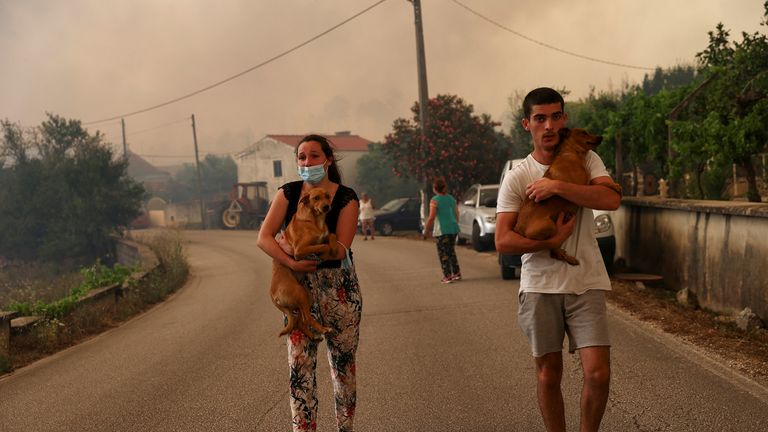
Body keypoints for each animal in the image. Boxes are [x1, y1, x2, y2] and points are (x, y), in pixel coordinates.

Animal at [272, 187, 340, 340]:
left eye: (328, 196)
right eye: (316, 198)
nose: (326, 207)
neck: (315, 220)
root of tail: (272, 294)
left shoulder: (325, 235)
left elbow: (331, 236)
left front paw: (333, 247)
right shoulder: (299, 250)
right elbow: (323, 246)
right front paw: (327, 252)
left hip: (306, 296)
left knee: (302, 320)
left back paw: (313, 335)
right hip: (300, 293)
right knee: (307, 318)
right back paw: (324, 329)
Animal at [512, 126, 620, 264]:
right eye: (584, 133)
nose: (600, 137)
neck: (571, 154)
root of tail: (518, 228)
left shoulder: (585, 183)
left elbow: (599, 183)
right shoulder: (581, 185)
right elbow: (600, 184)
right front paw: (615, 186)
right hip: (550, 227)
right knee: (551, 246)